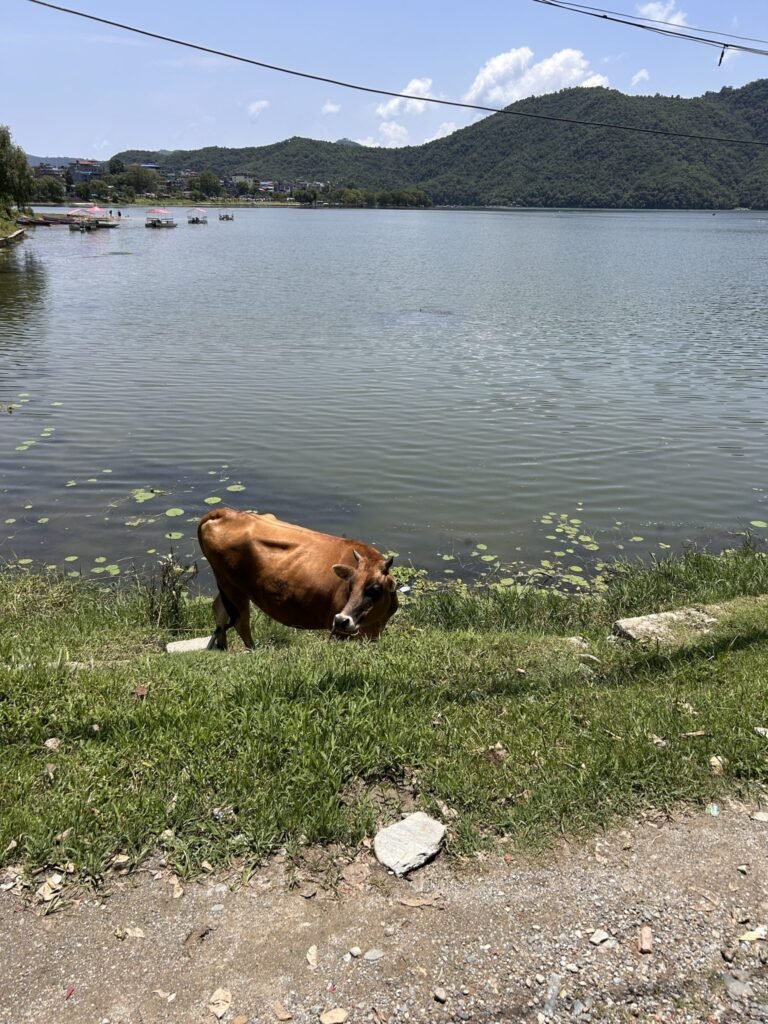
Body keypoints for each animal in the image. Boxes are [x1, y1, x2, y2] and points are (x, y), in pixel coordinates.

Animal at [197, 507, 398, 650]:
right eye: (350, 586)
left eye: (375, 589)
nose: (342, 619)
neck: (374, 622)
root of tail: (225, 513)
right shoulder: (337, 632)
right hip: (232, 587)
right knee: (241, 622)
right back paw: (253, 650)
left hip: (226, 585)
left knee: (219, 610)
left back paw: (222, 647)